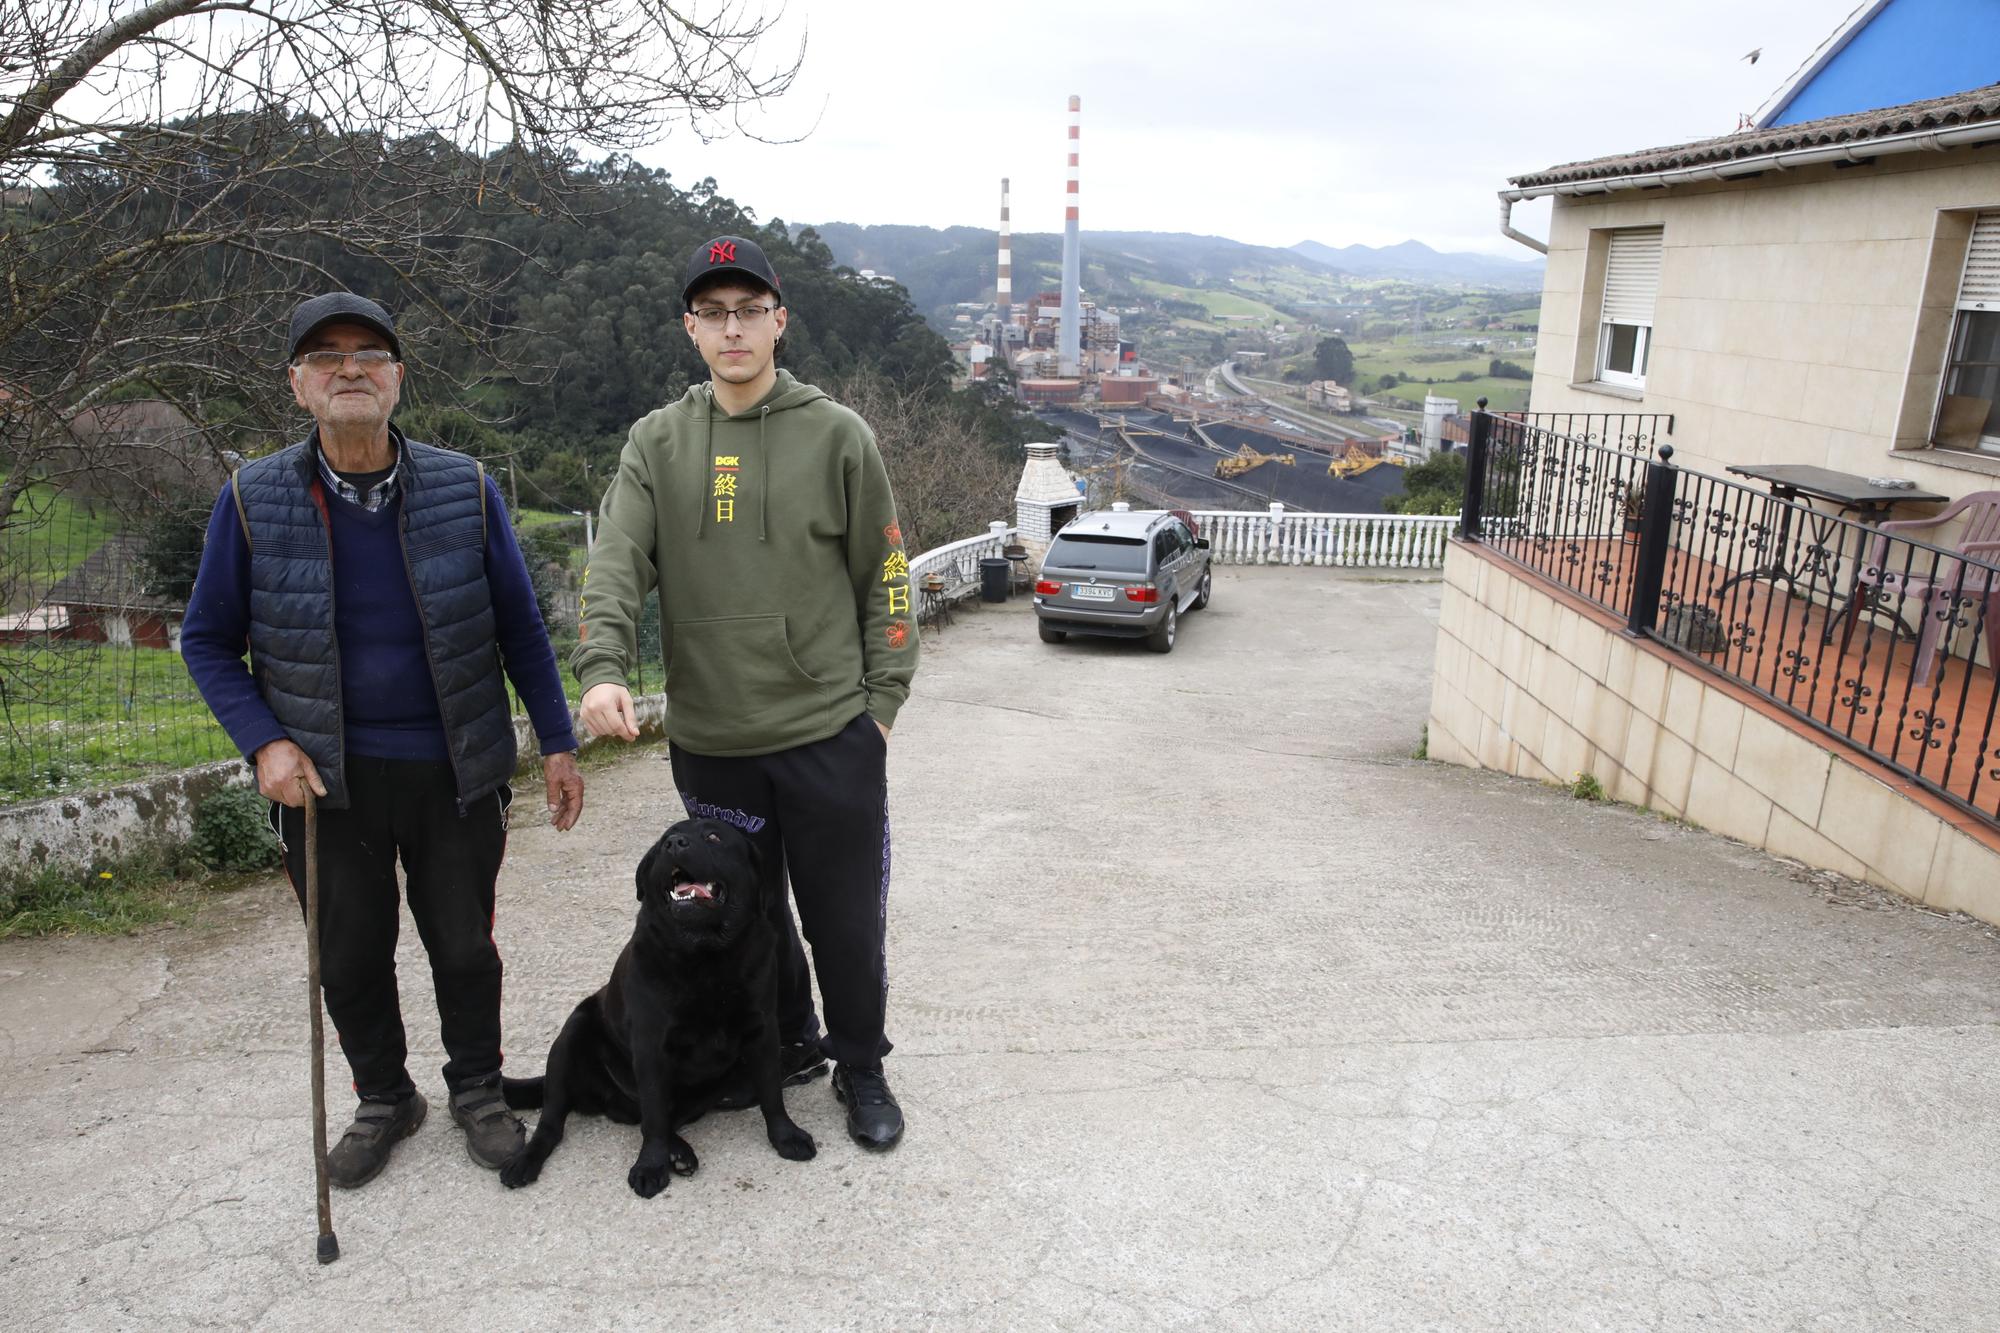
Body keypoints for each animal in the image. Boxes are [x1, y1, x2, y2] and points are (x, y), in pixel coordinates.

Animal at [498, 816, 812, 1184]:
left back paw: (679, 1151)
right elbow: (655, 1113)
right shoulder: (651, 1045)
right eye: (664, 842)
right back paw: (525, 1161)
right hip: (570, 1037)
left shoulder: (762, 1032)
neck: (707, 957)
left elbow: (772, 1094)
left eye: (714, 836)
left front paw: (786, 1136)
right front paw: (650, 1165)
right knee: (556, 1124)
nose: (675, 844)